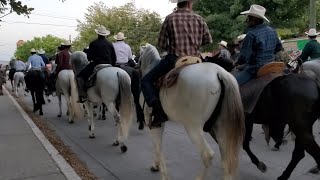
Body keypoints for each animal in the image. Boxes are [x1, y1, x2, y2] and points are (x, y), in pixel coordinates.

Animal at [138, 43, 245, 180]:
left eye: (139, 57)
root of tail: (220, 73)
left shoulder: (151, 121)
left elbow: (157, 145)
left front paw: (162, 172)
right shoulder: (159, 122)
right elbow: (158, 144)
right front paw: (156, 165)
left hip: (193, 127)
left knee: (207, 155)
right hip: (221, 127)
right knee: (227, 159)